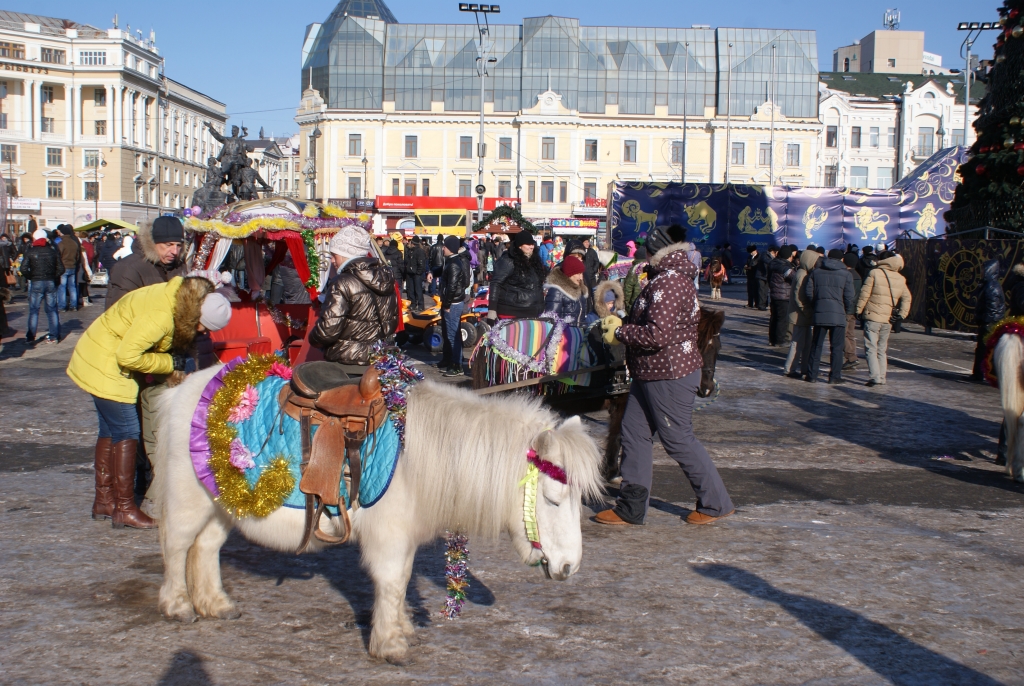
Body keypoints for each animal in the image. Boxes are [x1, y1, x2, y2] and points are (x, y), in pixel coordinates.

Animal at [150, 368, 598, 663]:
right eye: (553, 499)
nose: (570, 567)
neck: (418, 456)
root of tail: (184, 388)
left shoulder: (405, 537)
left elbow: (402, 582)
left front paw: (401, 631)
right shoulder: (390, 535)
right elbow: (392, 582)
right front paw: (391, 645)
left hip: (222, 505)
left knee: (205, 548)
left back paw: (215, 604)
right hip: (190, 502)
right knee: (177, 546)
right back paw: (178, 606)